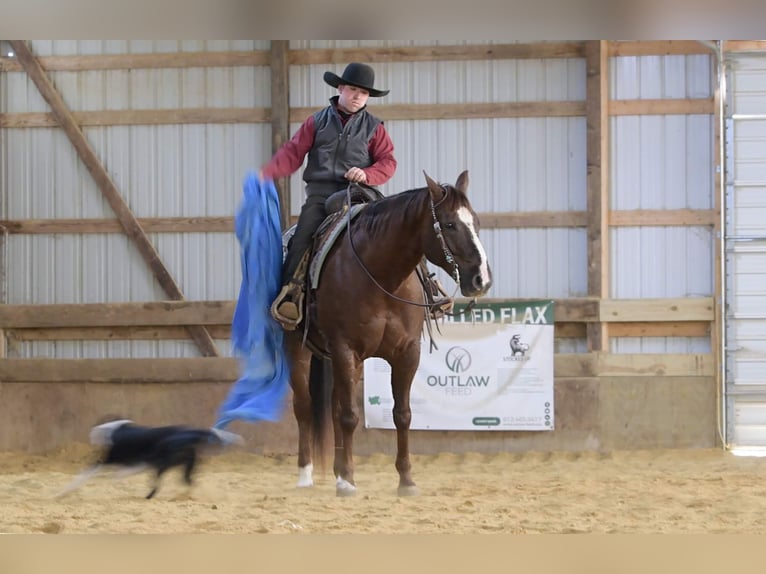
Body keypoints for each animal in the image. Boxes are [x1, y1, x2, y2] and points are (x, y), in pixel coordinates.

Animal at [57, 420, 243, 502]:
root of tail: (188, 433)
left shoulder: (112, 460)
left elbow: (89, 473)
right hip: (185, 467)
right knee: (187, 481)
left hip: (163, 465)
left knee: (158, 484)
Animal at [284, 172, 496, 500]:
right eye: (449, 224)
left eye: (475, 222)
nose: (481, 280)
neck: (380, 274)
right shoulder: (345, 348)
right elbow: (349, 415)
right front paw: (347, 481)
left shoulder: (407, 352)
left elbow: (402, 414)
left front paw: (406, 480)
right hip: (298, 346)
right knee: (305, 406)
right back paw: (306, 473)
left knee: (333, 407)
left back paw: (335, 469)